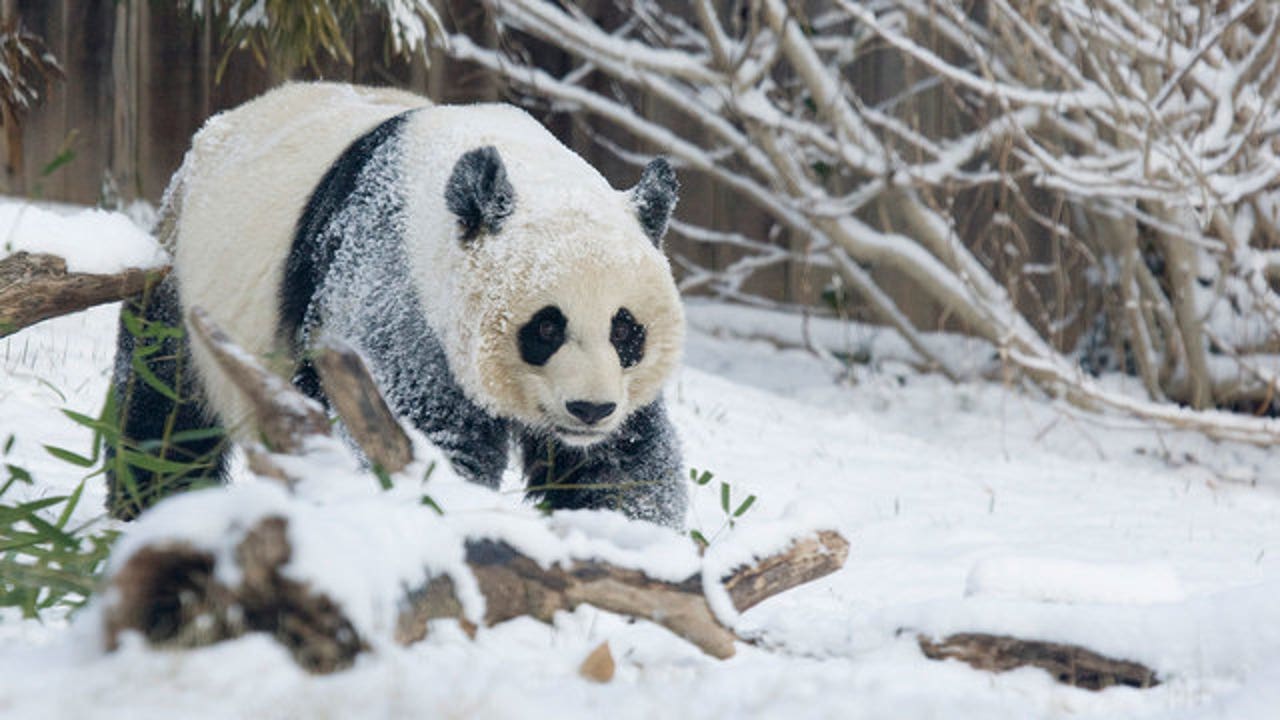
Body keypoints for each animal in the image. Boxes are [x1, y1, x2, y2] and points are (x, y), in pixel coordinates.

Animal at [107, 82, 687, 527]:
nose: (590, 409)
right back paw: (152, 506)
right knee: (164, 414)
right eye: (546, 328)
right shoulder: (391, 285)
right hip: (183, 285)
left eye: (625, 330)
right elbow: (418, 434)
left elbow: (622, 467)